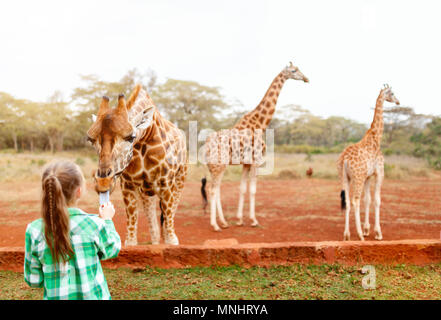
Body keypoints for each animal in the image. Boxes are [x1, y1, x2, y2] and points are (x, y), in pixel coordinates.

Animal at [87, 85, 187, 245]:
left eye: (130, 137)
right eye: (90, 140)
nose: (103, 182)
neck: (145, 136)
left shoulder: (166, 183)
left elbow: (169, 220)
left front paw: (171, 239)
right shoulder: (128, 185)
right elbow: (131, 235)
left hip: (179, 179)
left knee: (170, 211)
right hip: (147, 191)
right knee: (153, 226)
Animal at [200, 62, 308, 230]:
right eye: (293, 70)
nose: (306, 78)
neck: (261, 124)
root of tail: (206, 146)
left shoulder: (246, 163)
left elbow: (242, 188)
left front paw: (239, 220)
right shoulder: (257, 160)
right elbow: (252, 190)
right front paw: (253, 220)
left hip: (214, 167)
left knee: (215, 189)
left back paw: (223, 222)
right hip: (219, 165)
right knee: (213, 190)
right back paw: (216, 225)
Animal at [336, 84, 398, 240]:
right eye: (392, 93)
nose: (398, 101)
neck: (376, 139)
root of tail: (344, 159)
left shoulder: (368, 176)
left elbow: (368, 200)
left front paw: (366, 229)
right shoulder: (380, 173)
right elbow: (376, 200)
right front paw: (377, 233)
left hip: (344, 177)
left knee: (347, 201)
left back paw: (347, 235)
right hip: (357, 178)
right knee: (355, 200)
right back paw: (359, 235)